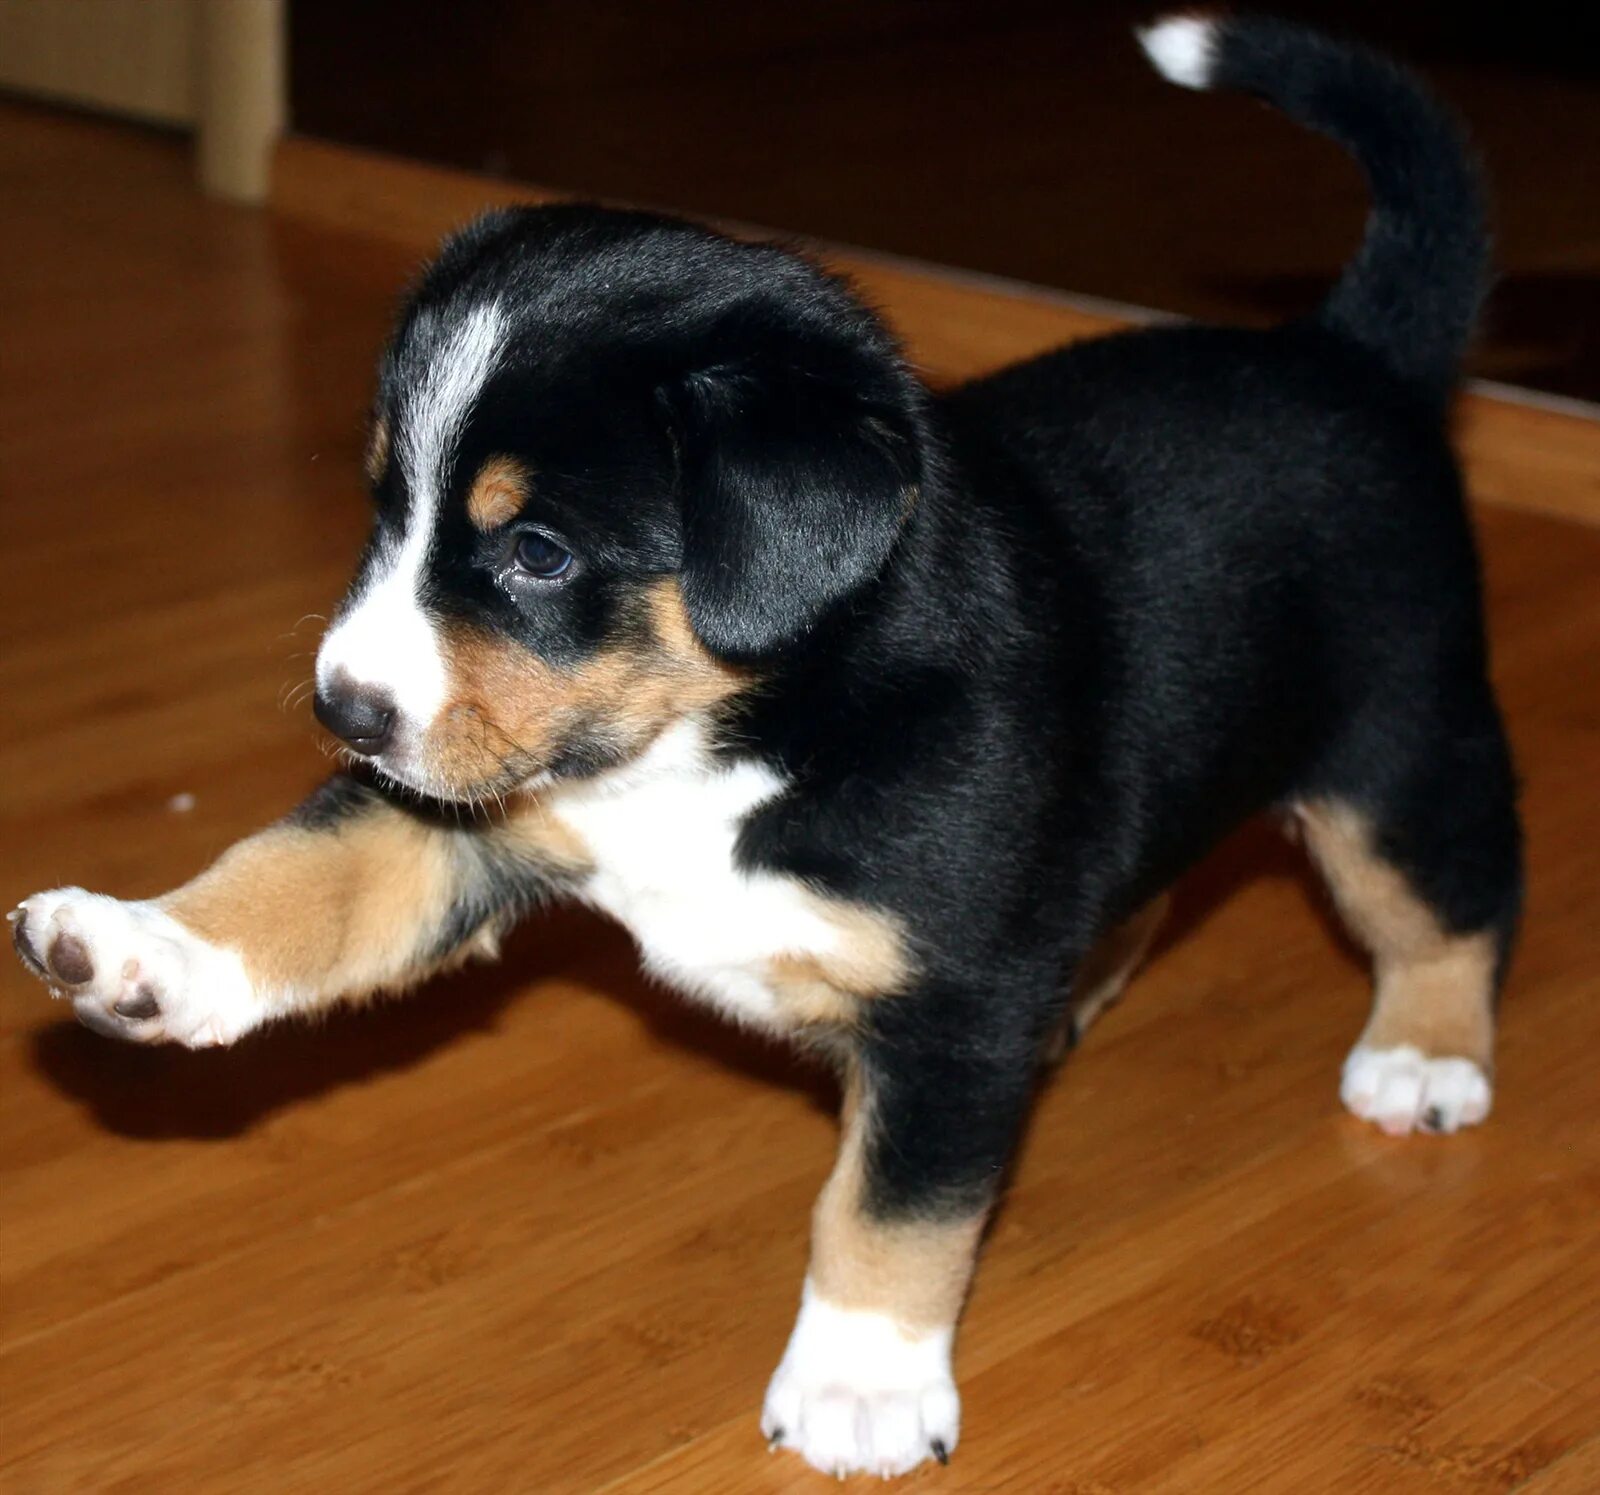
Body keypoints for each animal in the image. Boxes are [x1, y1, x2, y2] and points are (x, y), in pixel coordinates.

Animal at [6, 14, 1516, 1485]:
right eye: (388, 510)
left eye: (537, 553)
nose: (347, 711)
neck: (726, 736)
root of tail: (1347, 356)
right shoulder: (468, 817)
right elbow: (304, 880)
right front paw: (136, 948)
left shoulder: (954, 1004)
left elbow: (890, 1208)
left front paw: (861, 1381)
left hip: (1396, 750)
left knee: (1448, 902)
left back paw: (1425, 1055)